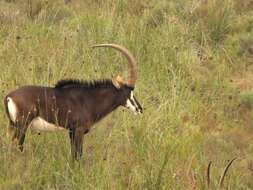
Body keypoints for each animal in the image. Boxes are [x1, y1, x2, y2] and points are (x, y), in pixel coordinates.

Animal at [3, 43, 142, 160]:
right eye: (129, 92)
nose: (140, 109)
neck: (89, 99)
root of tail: (9, 97)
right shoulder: (78, 131)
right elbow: (78, 156)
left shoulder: (71, 132)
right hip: (22, 126)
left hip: (14, 126)